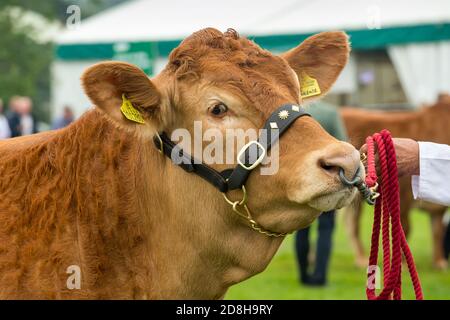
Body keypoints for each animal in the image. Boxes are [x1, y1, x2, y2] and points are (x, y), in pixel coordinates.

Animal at [342, 97, 450, 270]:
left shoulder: (438, 207)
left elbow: (437, 231)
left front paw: (439, 263)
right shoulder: (404, 196)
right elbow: (405, 227)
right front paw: (403, 265)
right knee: (354, 224)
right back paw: (361, 259)